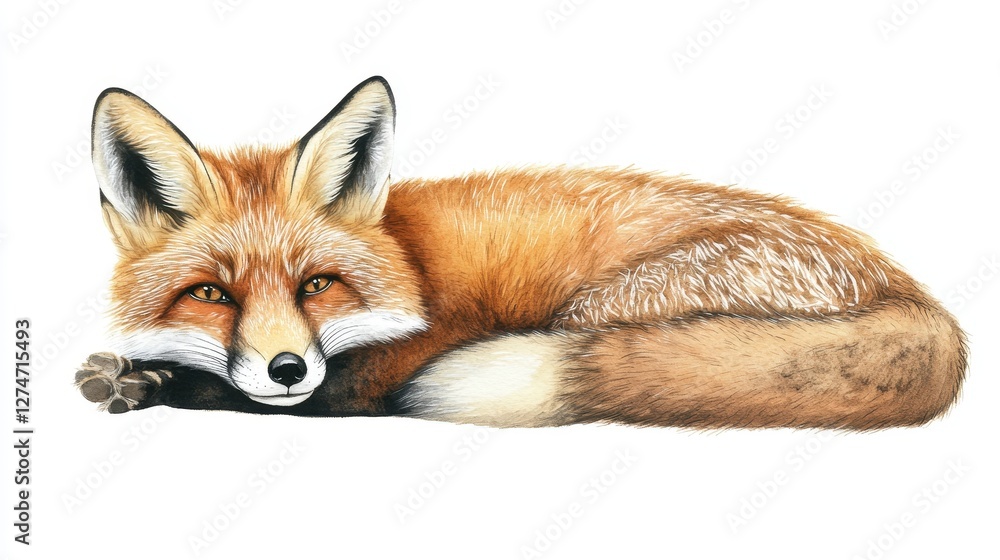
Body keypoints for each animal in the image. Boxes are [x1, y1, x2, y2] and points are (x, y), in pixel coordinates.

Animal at [75, 76, 967, 429]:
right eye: (212, 295)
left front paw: (152, 383)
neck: (412, 257)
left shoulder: (395, 362)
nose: (287, 367)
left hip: (603, 307)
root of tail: (915, 296)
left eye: (318, 284)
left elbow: (276, 395)